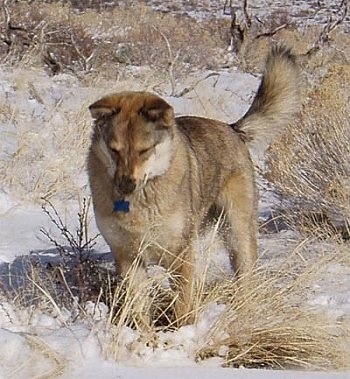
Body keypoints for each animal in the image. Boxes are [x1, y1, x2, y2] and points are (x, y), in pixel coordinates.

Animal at [87, 45, 298, 324]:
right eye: (114, 150)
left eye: (144, 150)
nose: (126, 185)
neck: (141, 203)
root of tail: (233, 129)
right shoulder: (128, 257)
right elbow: (139, 308)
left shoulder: (180, 254)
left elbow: (182, 305)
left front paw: (182, 331)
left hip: (238, 233)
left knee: (246, 275)